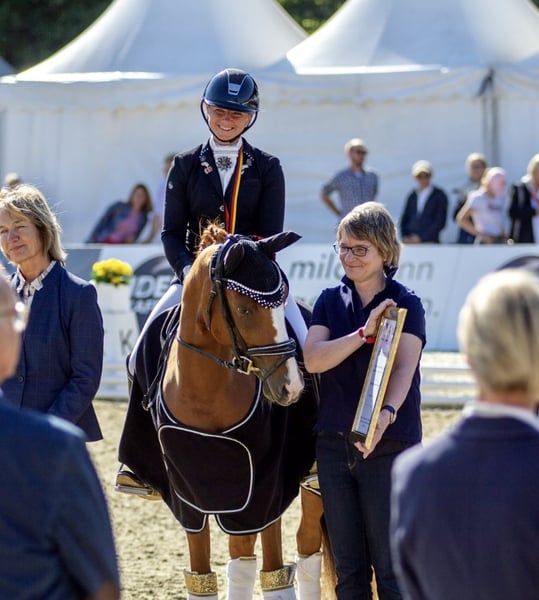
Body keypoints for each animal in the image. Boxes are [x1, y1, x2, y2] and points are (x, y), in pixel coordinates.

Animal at [118, 224, 334, 599]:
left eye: (282, 302)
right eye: (244, 309)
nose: (292, 387)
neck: (207, 390)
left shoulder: (258, 490)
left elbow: (259, 566)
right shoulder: (189, 496)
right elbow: (201, 574)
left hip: (308, 480)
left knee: (303, 548)